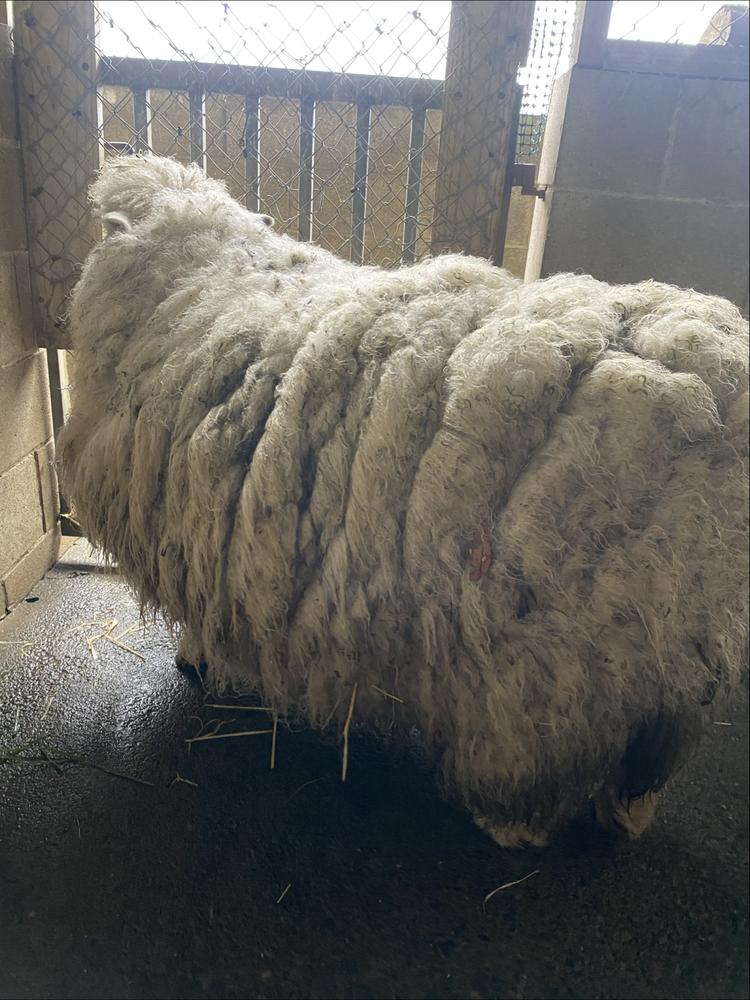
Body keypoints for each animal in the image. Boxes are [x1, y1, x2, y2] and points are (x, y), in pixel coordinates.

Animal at [59, 154, 749, 847]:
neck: (200, 273)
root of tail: (718, 390)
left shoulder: (203, 534)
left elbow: (207, 618)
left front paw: (202, 662)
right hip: (667, 652)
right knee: (648, 756)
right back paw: (625, 814)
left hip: (551, 655)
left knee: (538, 752)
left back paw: (509, 822)